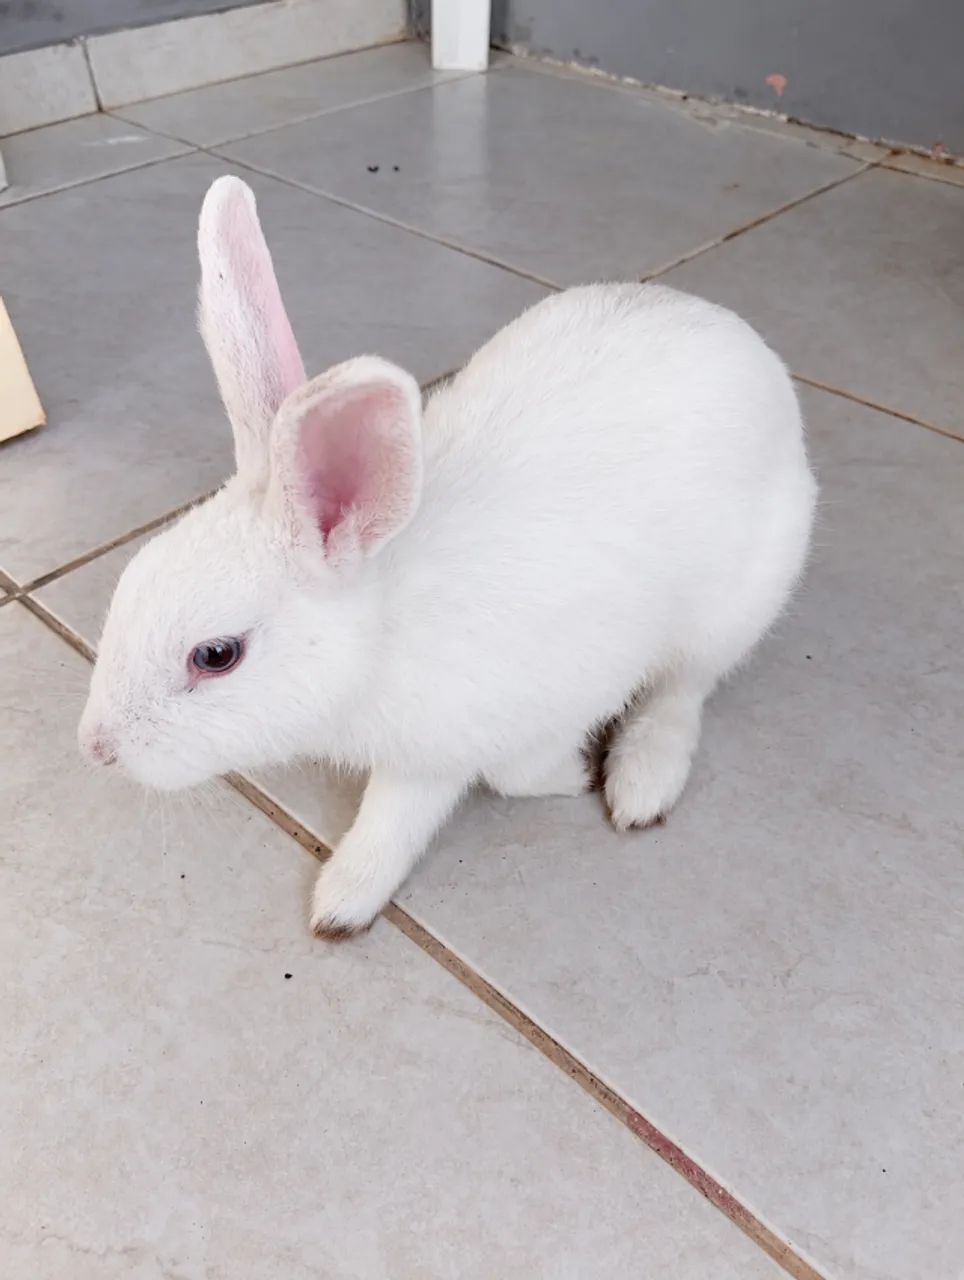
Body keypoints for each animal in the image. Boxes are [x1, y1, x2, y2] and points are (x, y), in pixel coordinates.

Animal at [78, 175, 817, 938]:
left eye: (217, 655)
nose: (97, 749)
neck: (380, 636)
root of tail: (730, 328)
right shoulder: (421, 757)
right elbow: (394, 820)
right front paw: (342, 902)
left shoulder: (568, 688)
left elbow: (513, 774)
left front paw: (575, 777)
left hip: (735, 603)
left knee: (684, 689)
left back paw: (641, 782)